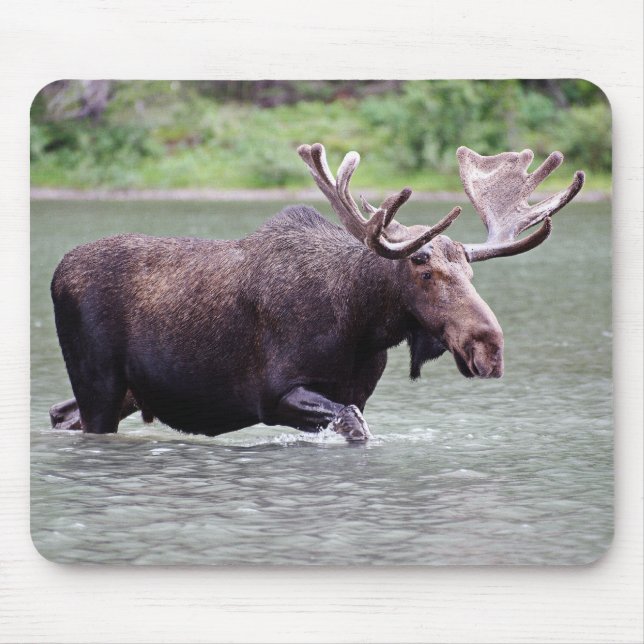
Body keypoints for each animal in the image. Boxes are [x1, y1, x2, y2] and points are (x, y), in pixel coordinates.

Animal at [49, 143, 584, 441]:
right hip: (99, 383)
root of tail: (56, 274)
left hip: (126, 392)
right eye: (423, 270)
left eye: (471, 274)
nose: (488, 348)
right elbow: (353, 426)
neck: (362, 327)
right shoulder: (276, 393)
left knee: (59, 413)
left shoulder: (355, 392)